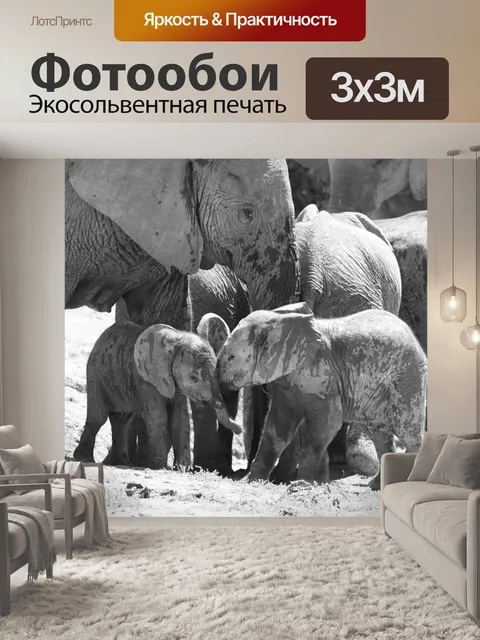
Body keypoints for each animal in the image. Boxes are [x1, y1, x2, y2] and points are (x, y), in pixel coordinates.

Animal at [73, 320, 241, 469]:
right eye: (193, 378)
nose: (239, 429)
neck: (175, 340)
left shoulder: (176, 386)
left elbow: (180, 420)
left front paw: (182, 469)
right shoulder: (148, 381)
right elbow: (157, 418)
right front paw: (158, 466)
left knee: (123, 420)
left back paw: (122, 462)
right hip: (96, 373)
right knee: (98, 417)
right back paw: (83, 458)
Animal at [217, 302, 427, 485]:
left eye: (232, 357)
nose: (238, 428)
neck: (278, 321)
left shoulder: (321, 372)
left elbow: (328, 424)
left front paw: (303, 484)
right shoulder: (288, 381)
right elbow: (277, 427)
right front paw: (250, 481)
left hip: (409, 379)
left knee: (408, 431)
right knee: (380, 434)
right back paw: (376, 485)